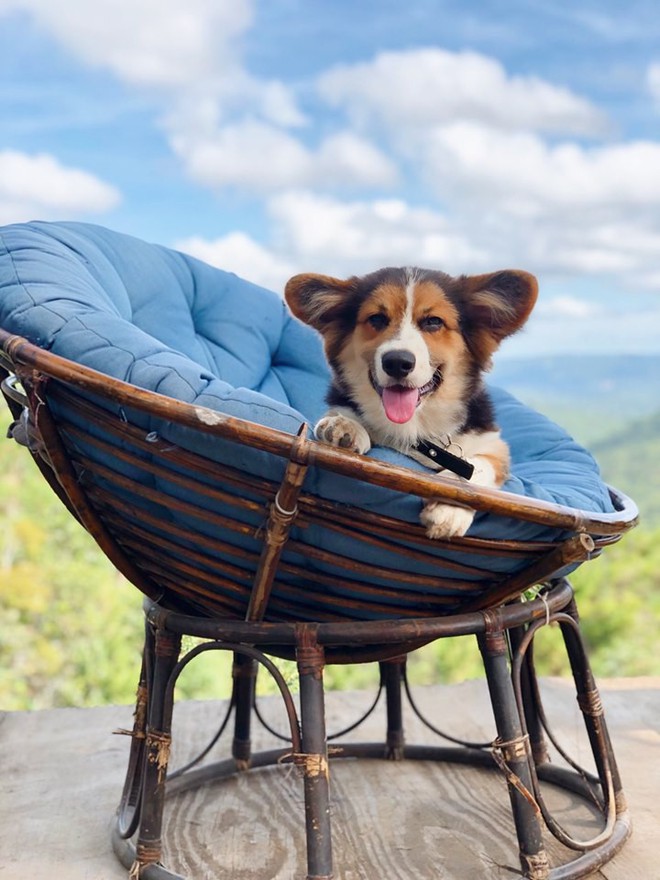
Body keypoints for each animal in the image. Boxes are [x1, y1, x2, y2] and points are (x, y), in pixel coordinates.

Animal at [284, 264, 536, 536]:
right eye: (376, 319)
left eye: (433, 321)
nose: (397, 362)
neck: (414, 425)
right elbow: (344, 415)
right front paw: (344, 425)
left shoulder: (494, 447)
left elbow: (477, 466)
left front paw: (450, 506)